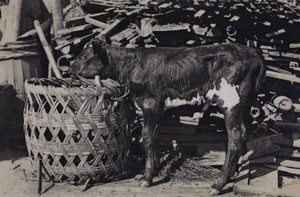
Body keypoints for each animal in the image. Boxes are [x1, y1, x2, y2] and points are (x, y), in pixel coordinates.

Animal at [71, 40, 268, 195]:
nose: (70, 67)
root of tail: (253, 52)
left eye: (84, 55)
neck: (133, 65)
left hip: (229, 99)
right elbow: (156, 135)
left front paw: (147, 178)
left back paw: (217, 185)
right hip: (245, 103)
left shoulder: (150, 103)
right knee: (245, 133)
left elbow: (147, 136)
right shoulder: (158, 108)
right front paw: (153, 169)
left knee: (235, 136)